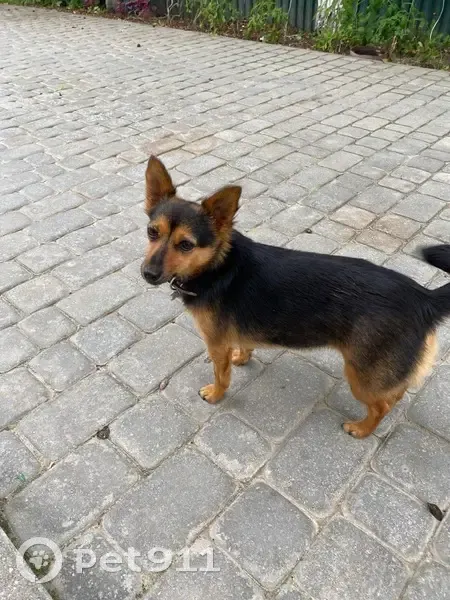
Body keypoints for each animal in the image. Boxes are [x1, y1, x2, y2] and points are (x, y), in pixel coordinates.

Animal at [141, 155, 450, 438]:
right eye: (151, 232)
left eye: (186, 245)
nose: (147, 274)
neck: (217, 266)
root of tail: (423, 297)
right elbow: (244, 346)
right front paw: (242, 357)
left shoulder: (216, 345)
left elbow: (222, 375)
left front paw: (216, 394)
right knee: (395, 394)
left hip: (362, 376)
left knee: (381, 406)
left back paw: (361, 429)